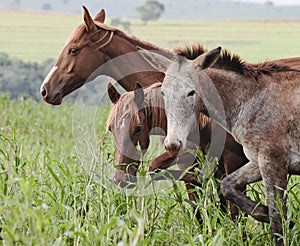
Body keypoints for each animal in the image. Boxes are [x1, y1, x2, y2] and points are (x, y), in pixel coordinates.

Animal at [139, 45, 300, 245]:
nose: (173, 144)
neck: (250, 100)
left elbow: (277, 217)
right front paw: (263, 212)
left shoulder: (272, 163)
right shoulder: (257, 163)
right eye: (163, 93)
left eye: (191, 92)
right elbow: (227, 186)